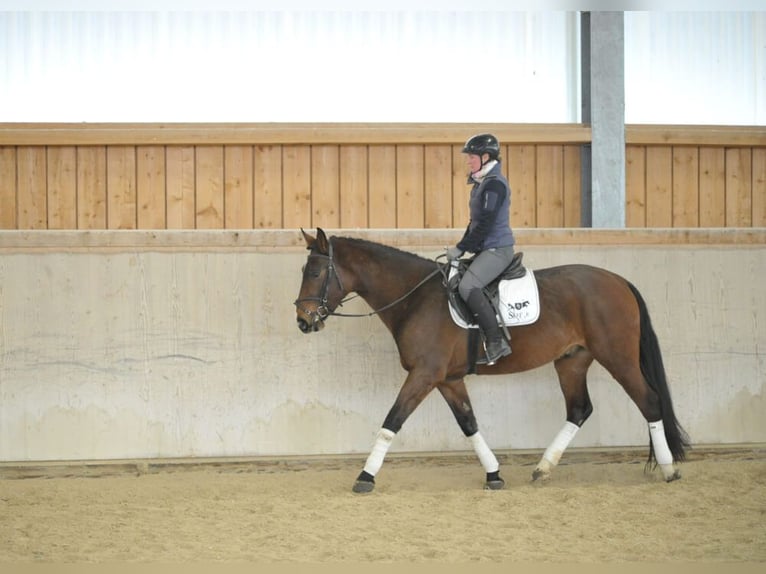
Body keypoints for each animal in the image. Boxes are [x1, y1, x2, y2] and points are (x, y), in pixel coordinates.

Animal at [294, 230, 688, 496]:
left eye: (314, 273)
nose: (302, 320)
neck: (416, 298)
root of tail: (618, 280)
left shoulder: (424, 375)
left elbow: (392, 422)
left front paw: (365, 477)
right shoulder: (448, 380)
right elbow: (469, 424)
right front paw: (494, 474)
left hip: (617, 357)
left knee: (649, 401)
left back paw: (668, 469)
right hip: (572, 361)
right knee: (579, 409)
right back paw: (543, 468)